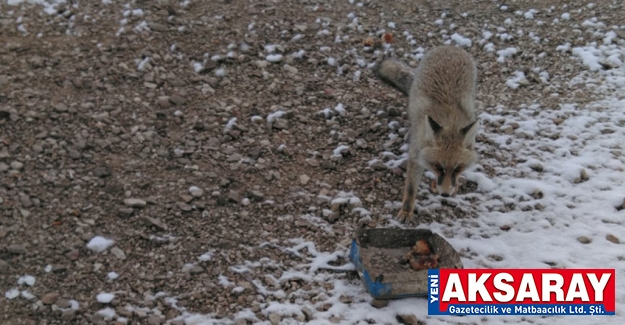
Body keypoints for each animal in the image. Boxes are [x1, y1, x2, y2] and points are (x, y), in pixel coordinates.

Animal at [372, 46, 480, 223]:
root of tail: (450, 47)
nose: (445, 195)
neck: (450, 120)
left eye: (457, 168)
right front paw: (406, 211)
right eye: (438, 167)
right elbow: (410, 188)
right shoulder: (415, 155)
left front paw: (454, 185)